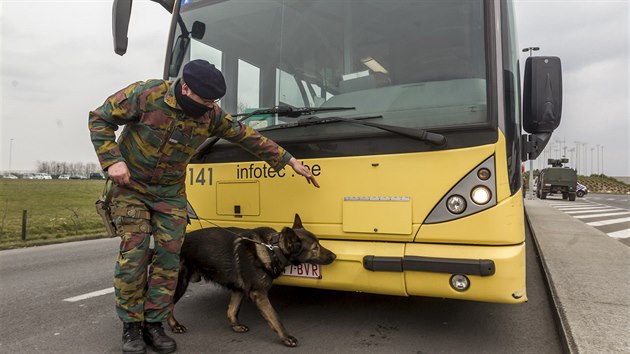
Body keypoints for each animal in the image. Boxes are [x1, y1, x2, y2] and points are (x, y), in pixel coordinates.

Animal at [167, 214, 336, 348]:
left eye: (319, 243)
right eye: (315, 248)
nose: (334, 256)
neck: (272, 250)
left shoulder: (238, 290)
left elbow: (232, 310)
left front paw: (235, 326)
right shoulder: (259, 294)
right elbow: (274, 317)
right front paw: (286, 337)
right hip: (179, 284)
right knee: (167, 305)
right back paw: (174, 326)